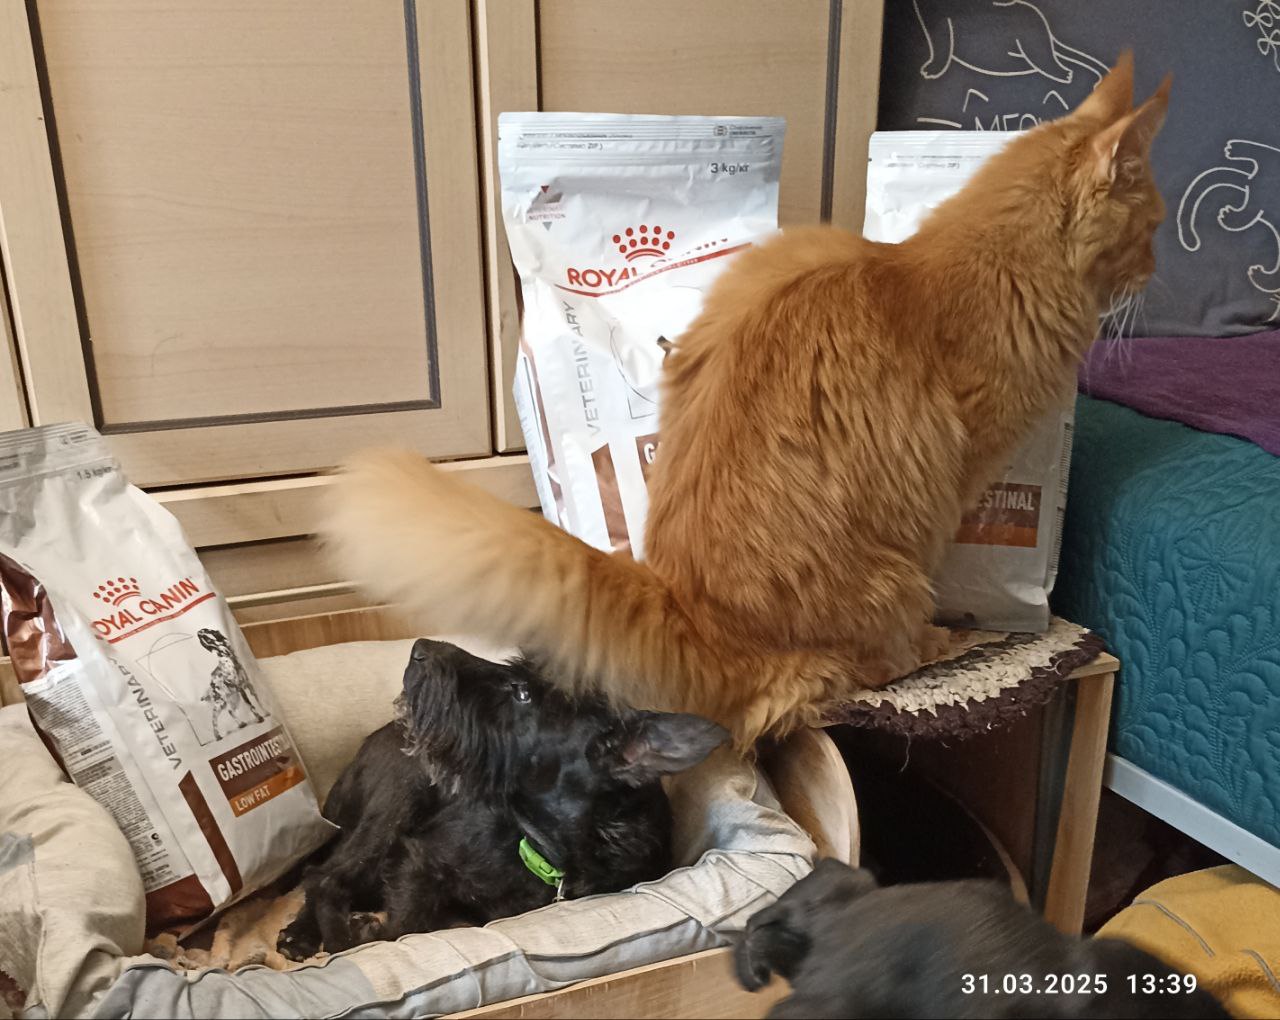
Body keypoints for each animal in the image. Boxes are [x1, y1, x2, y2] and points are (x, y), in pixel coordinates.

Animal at [277, 639, 727, 959]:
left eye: (522, 693)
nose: (419, 649)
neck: (542, 849)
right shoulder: (420, 858)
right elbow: (405, 926)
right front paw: (363, 933)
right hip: (398, 801)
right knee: (323, 875)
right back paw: (304, 934)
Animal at [323, 55, 1170, 749]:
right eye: (1154, 226)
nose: (1158, 270)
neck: (967, 270)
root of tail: (688, 605)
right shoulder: (962, 471)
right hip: (897, 575)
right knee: (872, 665)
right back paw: (946, 640)